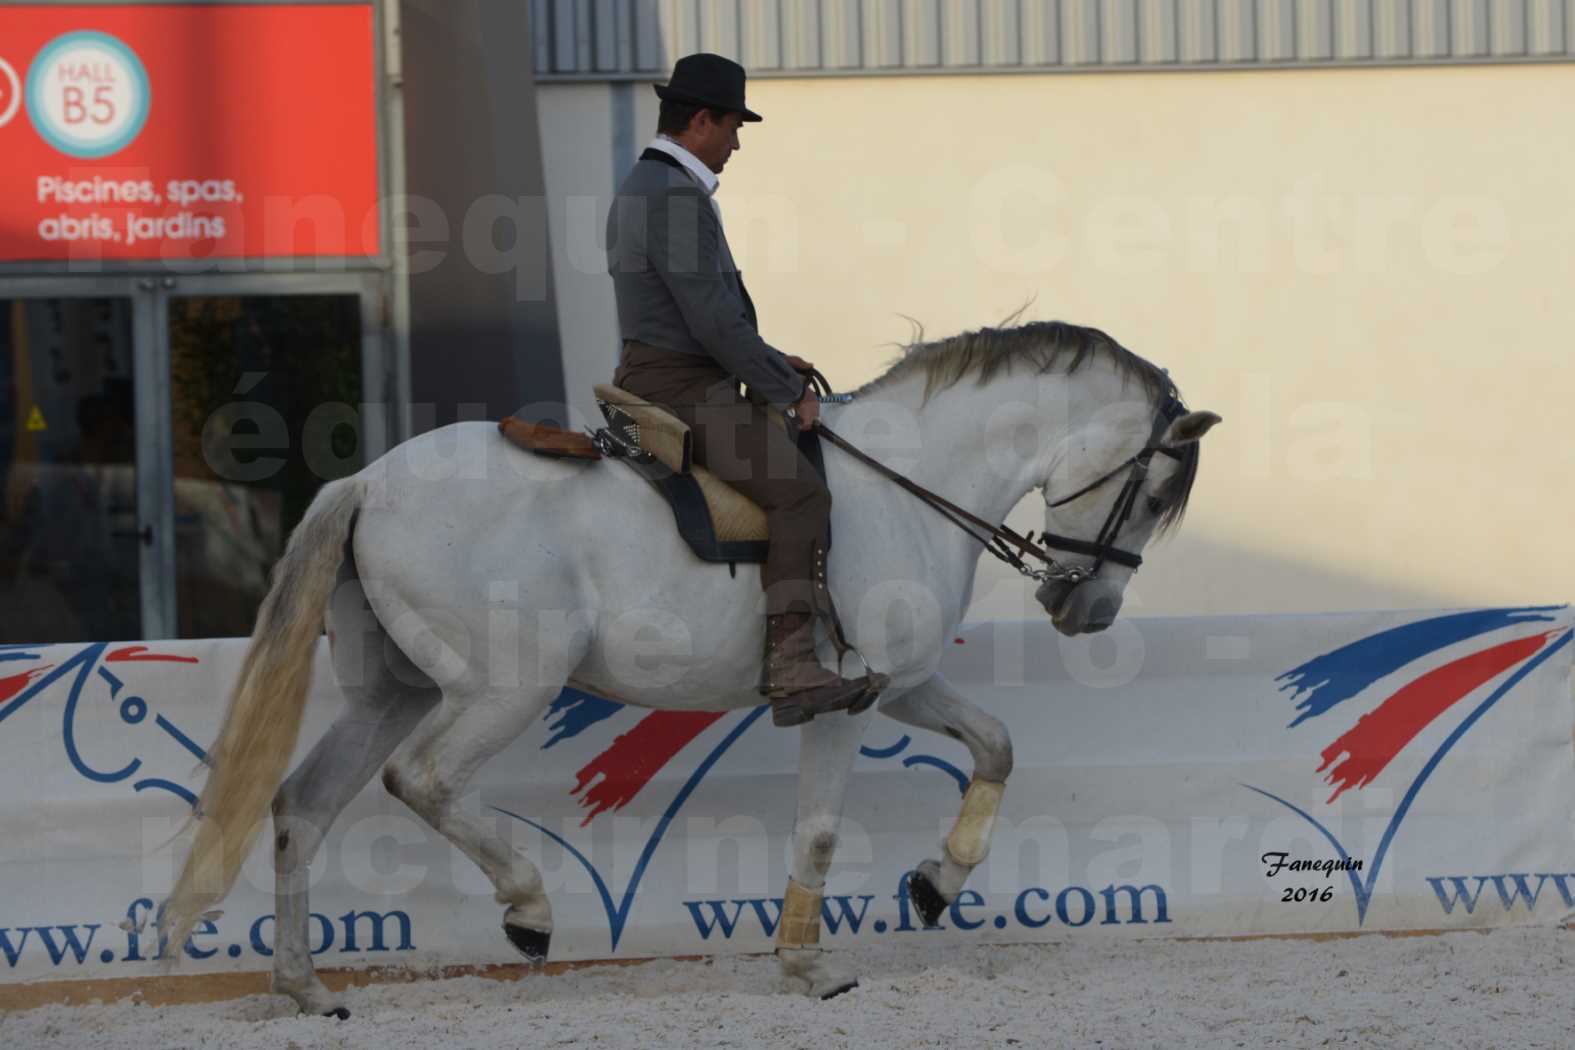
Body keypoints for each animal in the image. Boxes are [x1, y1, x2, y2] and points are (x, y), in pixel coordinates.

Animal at [159, 322, 1215, 1020]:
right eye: (1154, 488)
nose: (1087, 611)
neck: (912, 482)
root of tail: (367, 481)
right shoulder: (846, 702)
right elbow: (820, 831)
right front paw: (808, 967)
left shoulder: (905, 683)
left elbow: (995, 746)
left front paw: (934, 884)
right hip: (506, 686)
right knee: (422, 779)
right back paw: (528, 911)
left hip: (394, 690)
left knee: (301, 805)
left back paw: (304, 988)